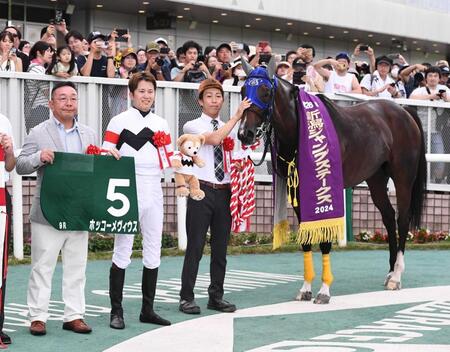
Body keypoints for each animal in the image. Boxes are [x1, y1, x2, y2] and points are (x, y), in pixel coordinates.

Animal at [239, 60, 426, 302]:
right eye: (243, 91)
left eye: (265, 92)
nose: (245, 133)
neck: (301, 130)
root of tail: (404, 111)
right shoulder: (298, 193)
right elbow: (307, 238)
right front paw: (305, 289)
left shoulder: (325, 190)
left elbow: (325, 240)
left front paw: (323, 291)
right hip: (376, 178)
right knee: (388, 216)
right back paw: (390, 271)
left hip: (403, 178)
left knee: (402, 220)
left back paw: (396, 276)